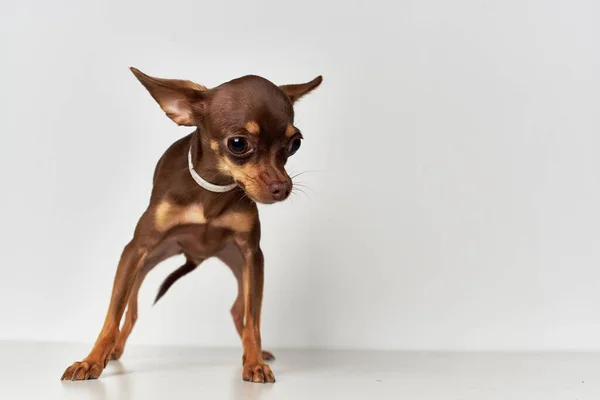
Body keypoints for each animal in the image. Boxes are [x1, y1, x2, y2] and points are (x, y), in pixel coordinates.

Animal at [59, 67, 324, 382]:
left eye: (295, 144)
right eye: (238, 144)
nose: (282, 188)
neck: (212, 190)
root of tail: (197, 256)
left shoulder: (252, 256)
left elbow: (254, 320)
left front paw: (255, 362)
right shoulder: (135, 251)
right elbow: (113, 316)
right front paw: (91, 361)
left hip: (240, 268)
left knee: (239, 310)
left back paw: (253, 353)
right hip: (145, 265)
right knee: (131, 312)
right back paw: (114, 352)